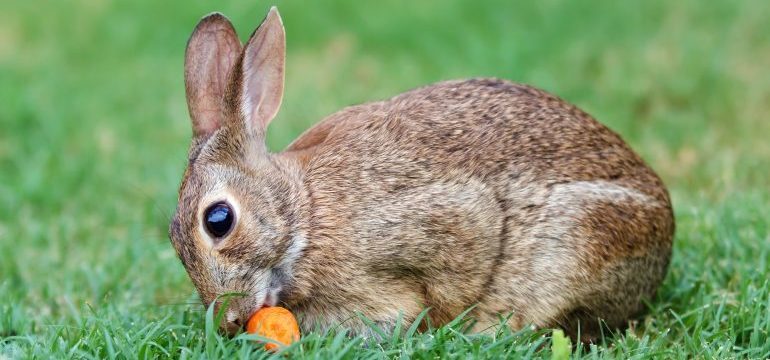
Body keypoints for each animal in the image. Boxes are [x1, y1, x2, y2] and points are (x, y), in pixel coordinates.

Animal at [168, 7, 672, 342]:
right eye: (173, 238)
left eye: (219, 220)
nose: (229, 321)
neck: (303, 215)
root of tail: (664, 234)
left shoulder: (445, 219)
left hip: (583, 235)